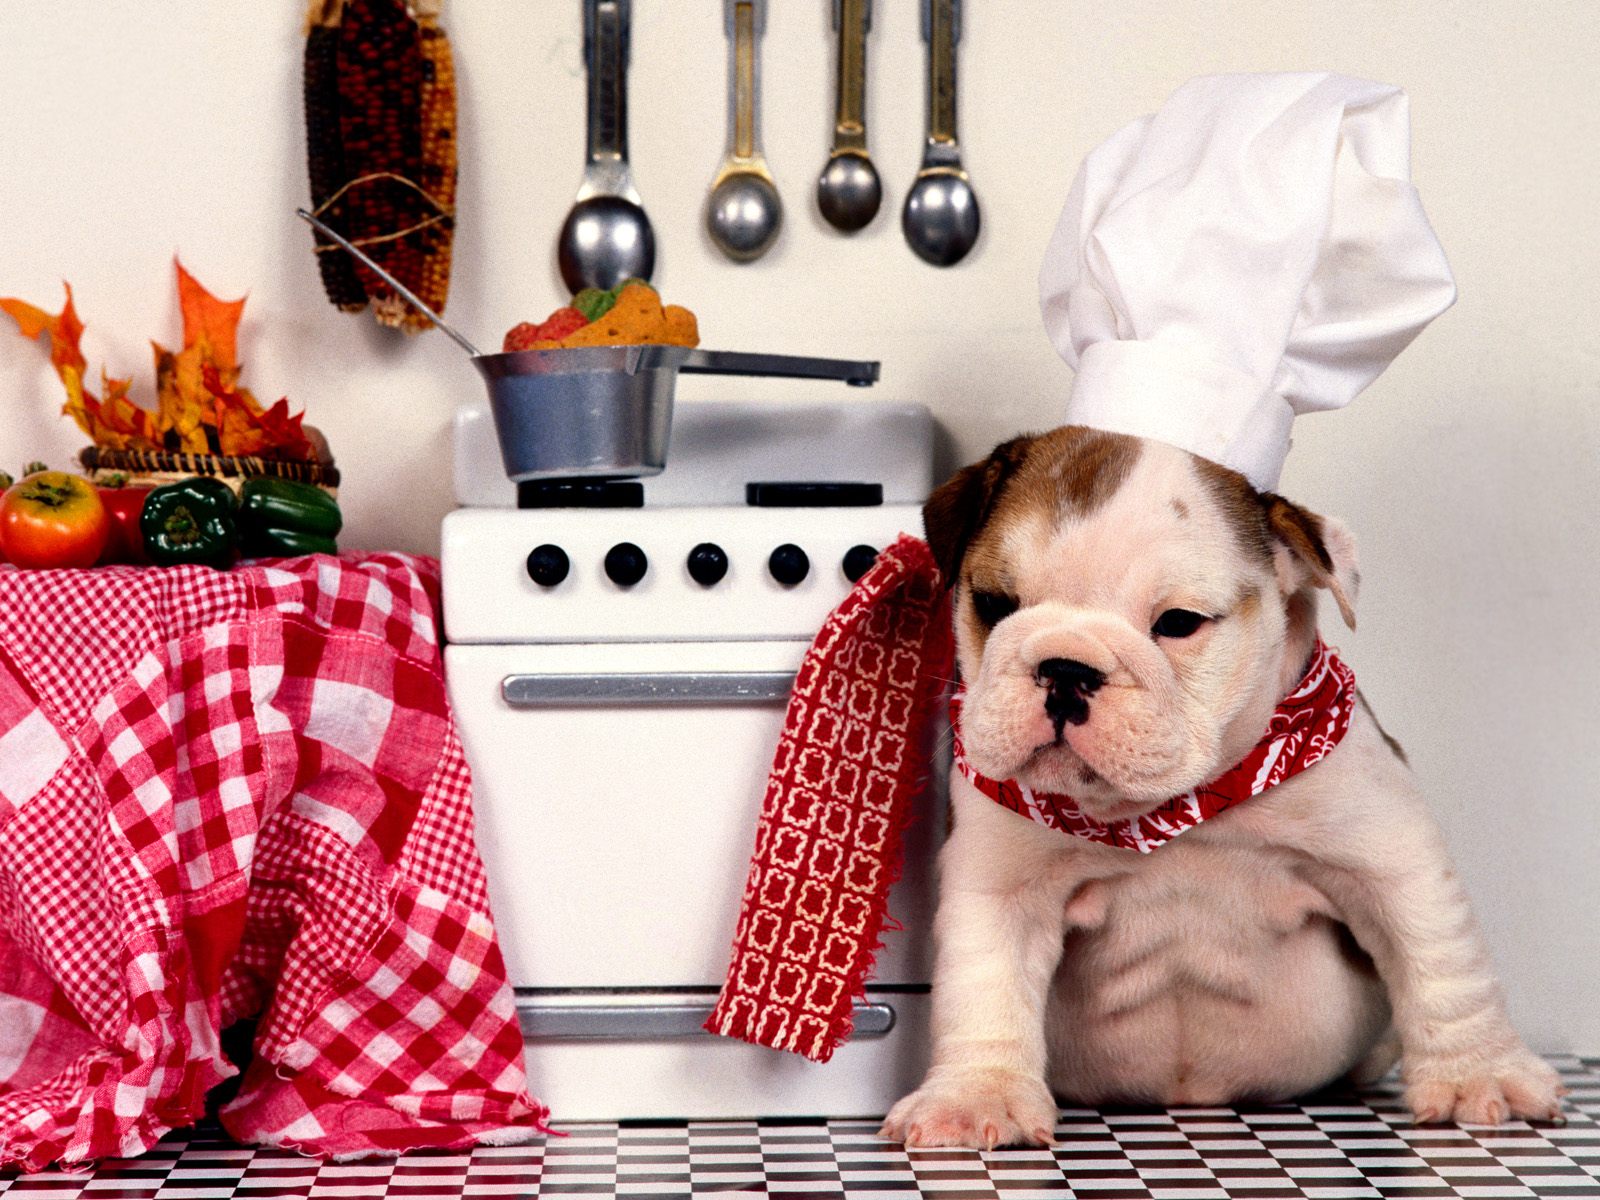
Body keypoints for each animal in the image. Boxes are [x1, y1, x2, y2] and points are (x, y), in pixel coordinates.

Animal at [876, 428, 1561, 1152]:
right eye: (994, 604)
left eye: (1179, 622)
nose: (1066, 669)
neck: (1182, 807)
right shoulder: (1004, 886)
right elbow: (985, 982)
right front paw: (976, 1095)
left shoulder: (1388, 856)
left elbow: (1441, 961)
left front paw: (1478, 1074)